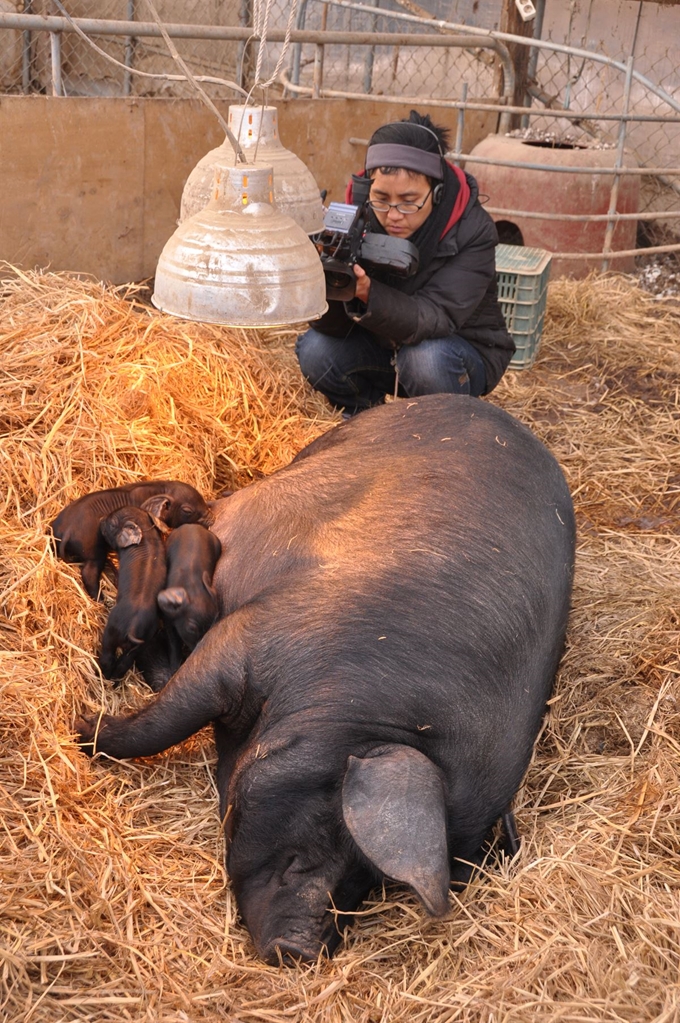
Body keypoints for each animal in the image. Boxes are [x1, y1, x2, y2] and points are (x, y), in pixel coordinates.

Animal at [78, 394, 572, 961]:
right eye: (334, 826)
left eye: (375, 885)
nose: (302, 949)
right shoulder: (249, 640)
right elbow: (160, 724)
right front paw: (80, 724)